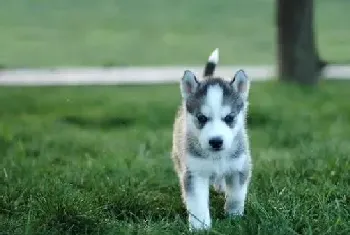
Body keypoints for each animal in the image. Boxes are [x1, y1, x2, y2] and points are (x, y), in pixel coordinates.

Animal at [172, 48, 252, 230]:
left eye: (229, 118)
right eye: (201, 118)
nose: (216, 141)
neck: (217, 157)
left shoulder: (239, 167)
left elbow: (236, 196)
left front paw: (234, 217)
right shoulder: (195, 173)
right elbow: (197, 203)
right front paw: (200, 227)